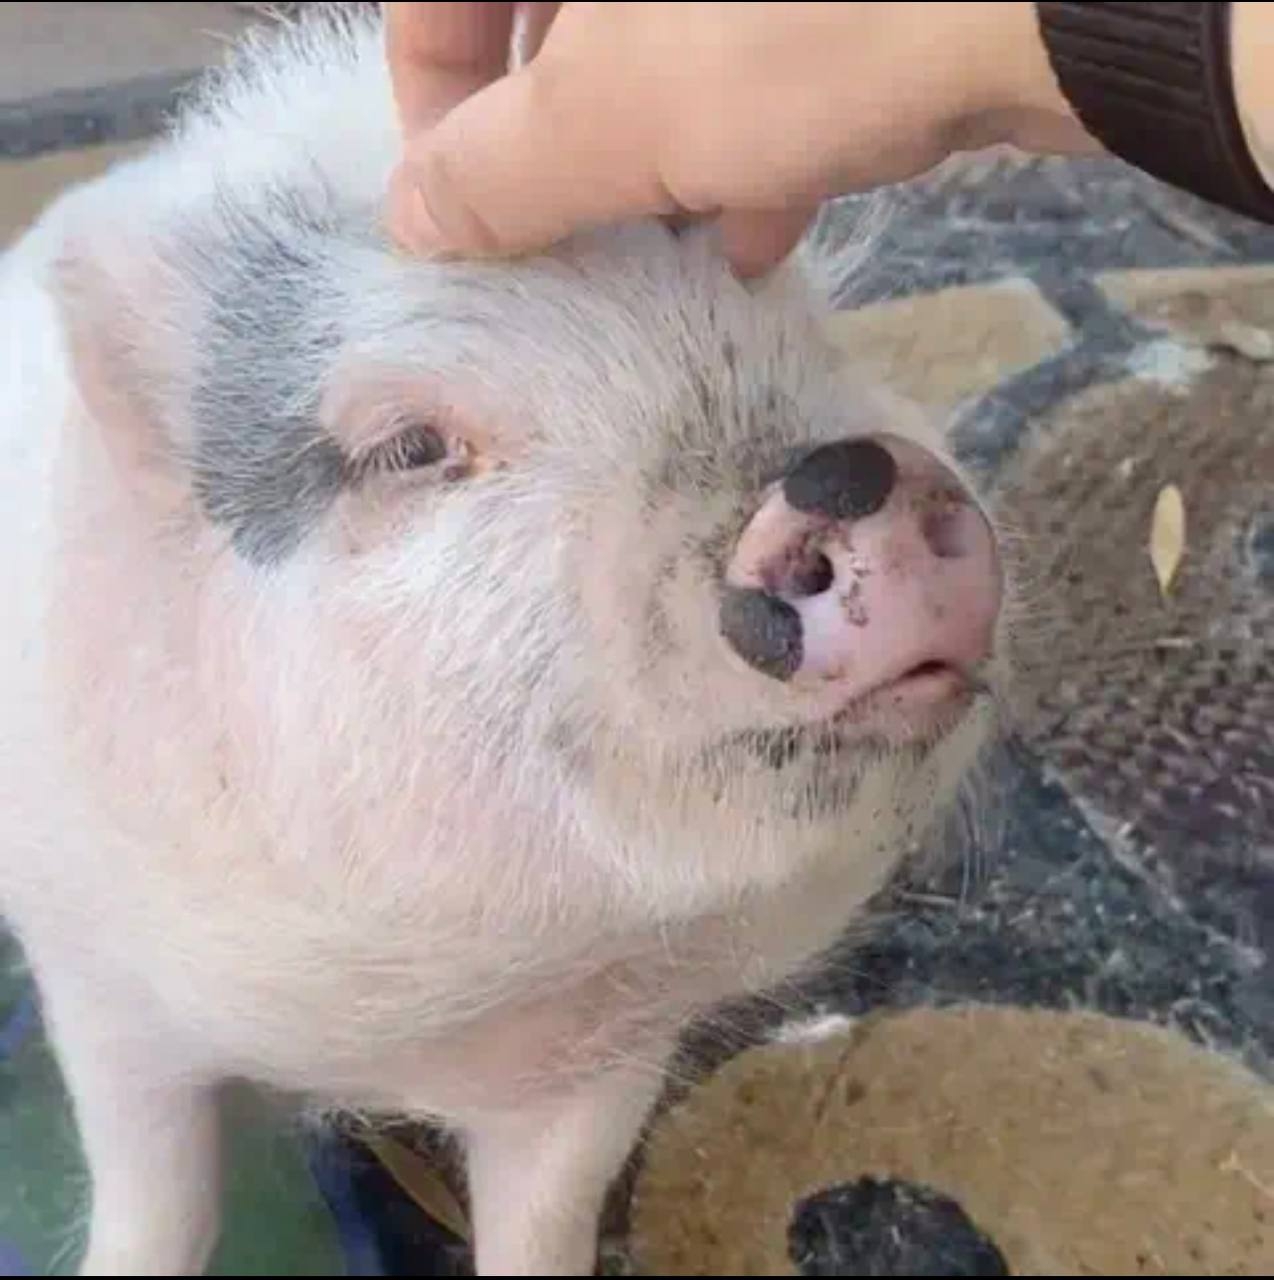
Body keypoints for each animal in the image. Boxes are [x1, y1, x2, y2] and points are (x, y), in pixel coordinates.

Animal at [0, 7, 1007, 1276]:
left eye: (784, 323)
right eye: (409, 447)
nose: (851, 474)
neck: (401, 1017)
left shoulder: (602, 1058)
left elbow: (544, 1217)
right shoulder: (98, 977)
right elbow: (156, 1191)